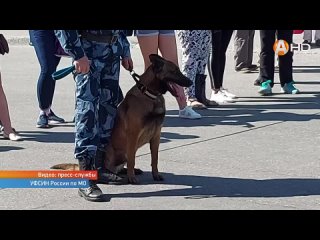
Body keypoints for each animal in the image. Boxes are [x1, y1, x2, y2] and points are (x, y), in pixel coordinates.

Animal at [49, 53, 192, 183]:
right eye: (174, 71)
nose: (190, 82)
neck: (149, 94)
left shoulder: (156, 136)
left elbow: (154, 159)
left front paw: (155, 175)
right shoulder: (133, 135)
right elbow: (132, 159)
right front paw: (131, 178)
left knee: (120, 166)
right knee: (112, 164)